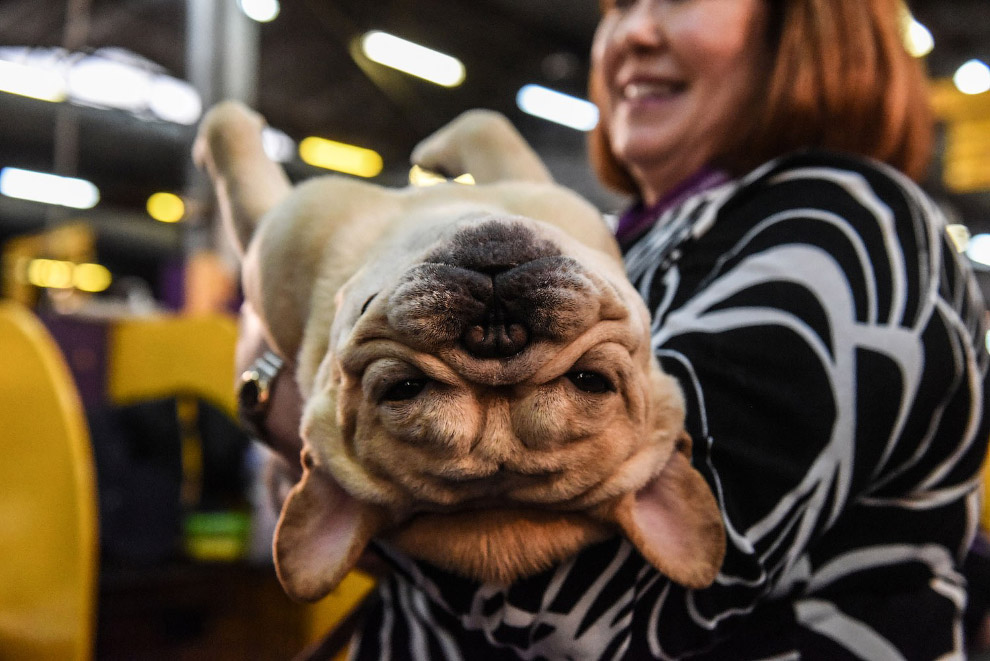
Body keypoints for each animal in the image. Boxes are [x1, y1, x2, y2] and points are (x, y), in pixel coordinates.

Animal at [194, 103, 724, 604]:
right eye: (405, 387)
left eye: (591, 381)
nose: (498, 334)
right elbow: (486, 122)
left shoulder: (282, 219)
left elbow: (230, 134)